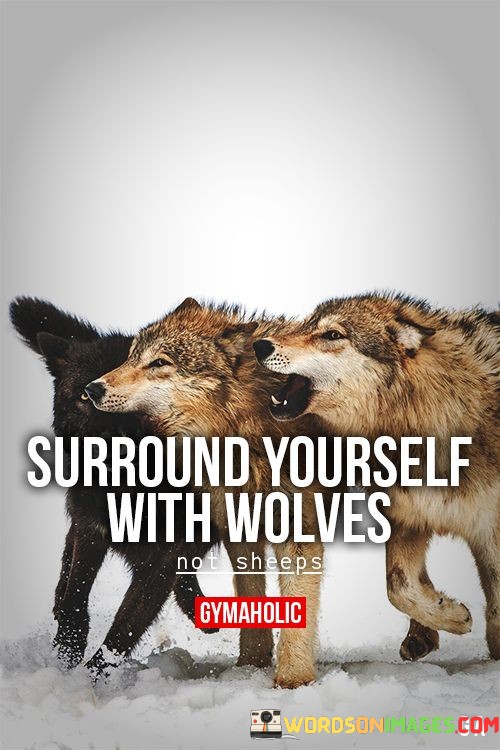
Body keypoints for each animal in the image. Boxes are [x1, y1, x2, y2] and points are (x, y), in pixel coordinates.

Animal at [10, 297, 218, 677]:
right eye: (84, 395)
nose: (112, 439)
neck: (134, 489)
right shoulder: (94, 529)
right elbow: (76, 595)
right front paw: (67, 653)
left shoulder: (163, 559)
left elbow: (126, 627)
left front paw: (94, 679)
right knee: (66, 561)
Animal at [84, 298, 324, 688]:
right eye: (131, 356)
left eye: (159, 363)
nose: (93, 389)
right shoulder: (238, 528)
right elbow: (251, 596)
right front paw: (249, 665)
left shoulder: (298, 531)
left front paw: (292, 681)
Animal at [253, 292, 500, 661]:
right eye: (306, 324)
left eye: (332, 335)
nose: (259, 345)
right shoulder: (410, 516)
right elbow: (398, 586)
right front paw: (454, 615)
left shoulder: (490, 530)